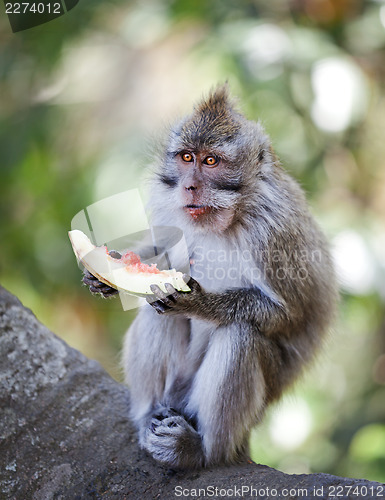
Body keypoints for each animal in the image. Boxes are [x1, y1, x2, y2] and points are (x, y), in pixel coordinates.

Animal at [82, 85, 334, 468]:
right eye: (187, 158)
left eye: (211, 161)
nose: (189, 186)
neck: (229, 217)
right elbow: (160, 245)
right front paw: (105, 271)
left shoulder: (273, 235)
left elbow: (289, 314)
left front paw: (198, 303)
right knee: (156, 315)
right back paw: (148, 415)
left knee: (241, 335)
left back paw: (203, 450)